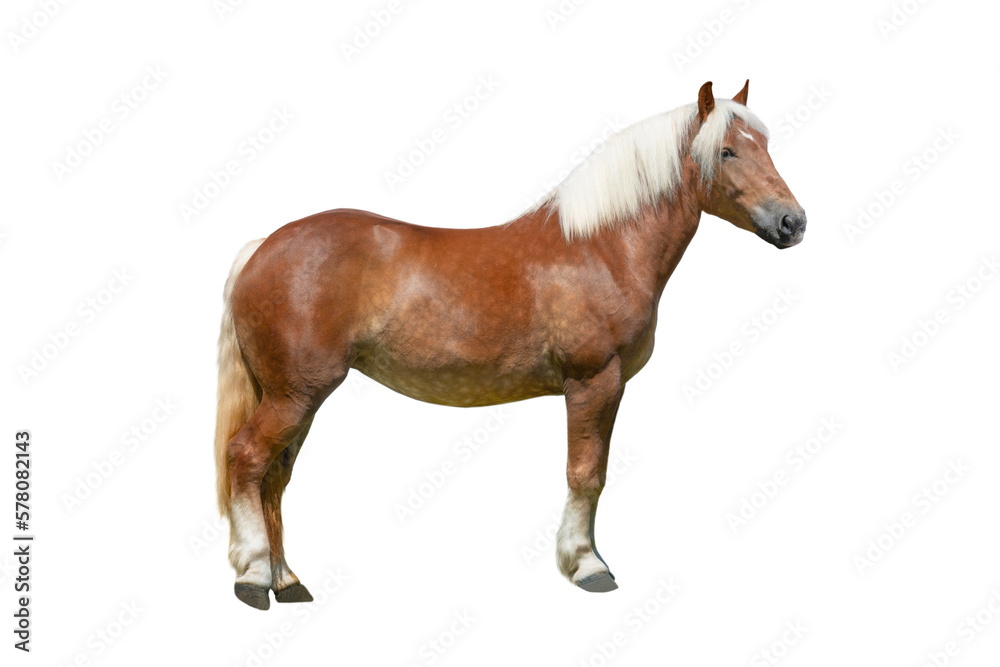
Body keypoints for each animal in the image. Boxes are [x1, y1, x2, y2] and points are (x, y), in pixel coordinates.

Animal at [214, 80, 807, 609]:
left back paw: (288, 582)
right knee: (246, 459)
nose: (793, 222)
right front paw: (588, 566)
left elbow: (595, 472)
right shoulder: (594, 382)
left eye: (766, 145)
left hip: (296, 396)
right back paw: (253, 580)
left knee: (273, 478)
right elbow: (585, 474)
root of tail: (262, 248)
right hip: (296, 394)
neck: (601, 248)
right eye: (726, 151)